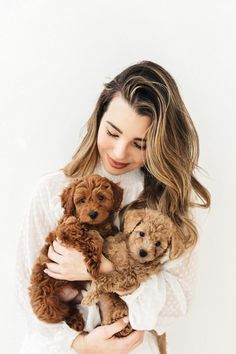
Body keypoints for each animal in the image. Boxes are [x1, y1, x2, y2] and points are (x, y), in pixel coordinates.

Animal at [28, 174, 122, 332]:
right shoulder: (67, 230)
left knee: (68, 308)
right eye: (81, 200)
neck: (95, 224)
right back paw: (76, 321)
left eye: (101, 198)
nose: (93, 214)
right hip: (46, 305)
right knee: (61, 313)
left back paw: (77, 321)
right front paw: (94, 262)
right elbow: (92, 236)